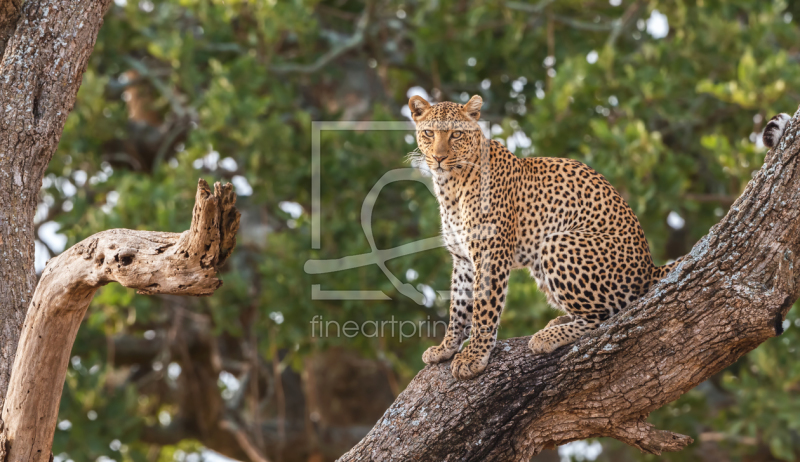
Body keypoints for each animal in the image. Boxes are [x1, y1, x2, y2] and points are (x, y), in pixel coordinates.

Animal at [410, 94, 684, 378]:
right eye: (429, 133)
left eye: (456, 134)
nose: (439, 157)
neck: (450, 187)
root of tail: (649, 267)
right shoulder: (463, 259)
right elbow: (459, 306)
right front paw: (446, 348)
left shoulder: (490, 254)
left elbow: (484, 308)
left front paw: (474, 355)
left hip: (556, 242)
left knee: (604, 317)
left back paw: (548, 336)